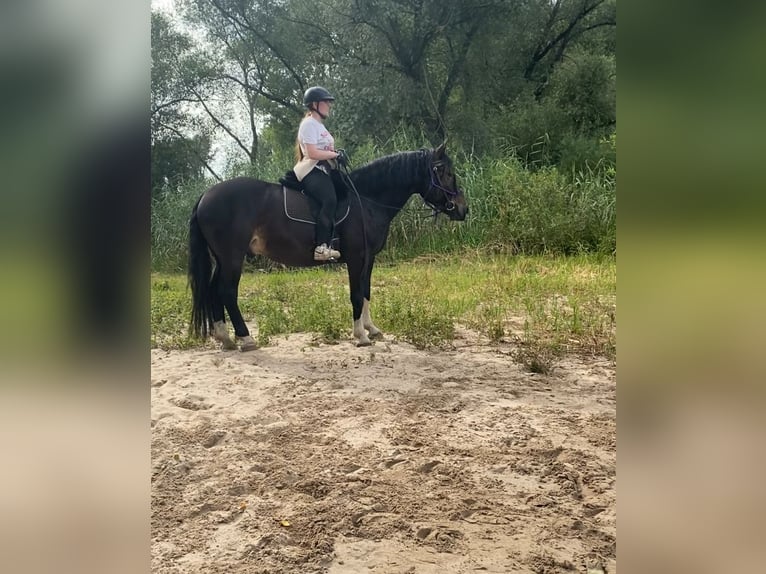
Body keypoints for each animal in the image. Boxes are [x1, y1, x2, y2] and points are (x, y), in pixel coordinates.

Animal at [189, 143, 472, 352]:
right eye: (445, 173)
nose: (462, 209)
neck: (367, 200)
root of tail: (205, 196)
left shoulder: (369, 259)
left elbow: (366, 292)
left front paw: (371, 329)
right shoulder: (356, 258)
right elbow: (355, 294)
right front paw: (360, 336)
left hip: (222, 259)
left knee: (214, 291)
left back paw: (225, 338)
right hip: (232, 258)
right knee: (227, 292)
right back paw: (245, 338)